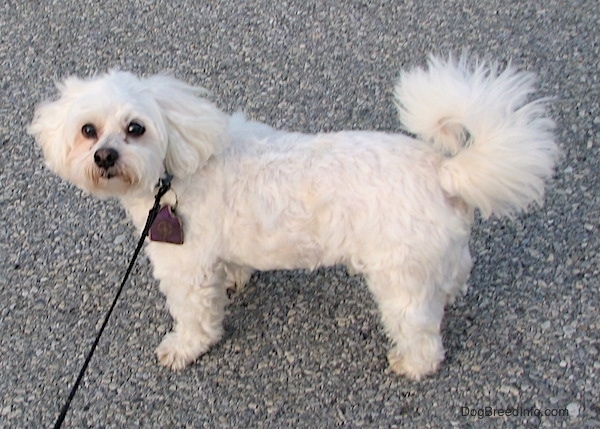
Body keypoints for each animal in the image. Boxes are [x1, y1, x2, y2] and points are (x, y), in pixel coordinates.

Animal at [29, 56, 556, 378]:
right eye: (88, 130)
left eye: (135, 128)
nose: (105, 156)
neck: (176, 170)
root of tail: (444, 171)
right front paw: (237, 278)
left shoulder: (186, 267)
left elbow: (195, 316)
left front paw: (184, 347)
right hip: (433, 256)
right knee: (452, 276)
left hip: (399, 276)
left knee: (420, 330)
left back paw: (413, 363)